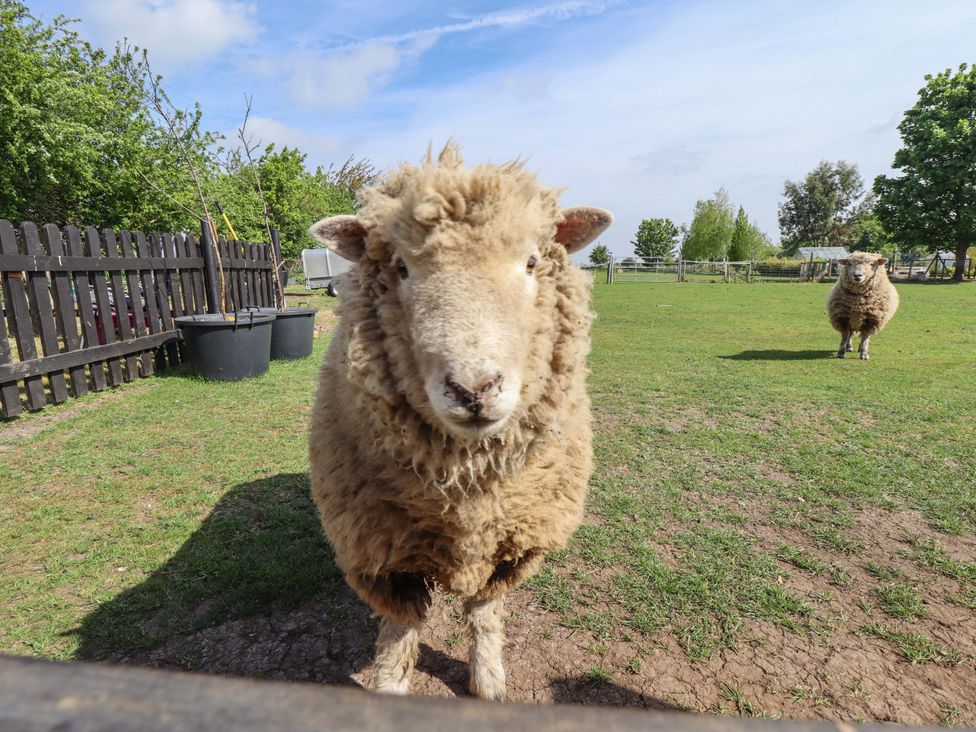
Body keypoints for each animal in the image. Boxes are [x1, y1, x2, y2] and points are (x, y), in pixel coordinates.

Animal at [307, 143, 612, 700]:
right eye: (401, 267)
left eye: (532, 261)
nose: (474, 390)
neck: (467, 493)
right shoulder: (383, 553)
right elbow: (401, 628)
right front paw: (389, 684)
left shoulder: (514, 544)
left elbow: (485, 610)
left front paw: (488, 677)